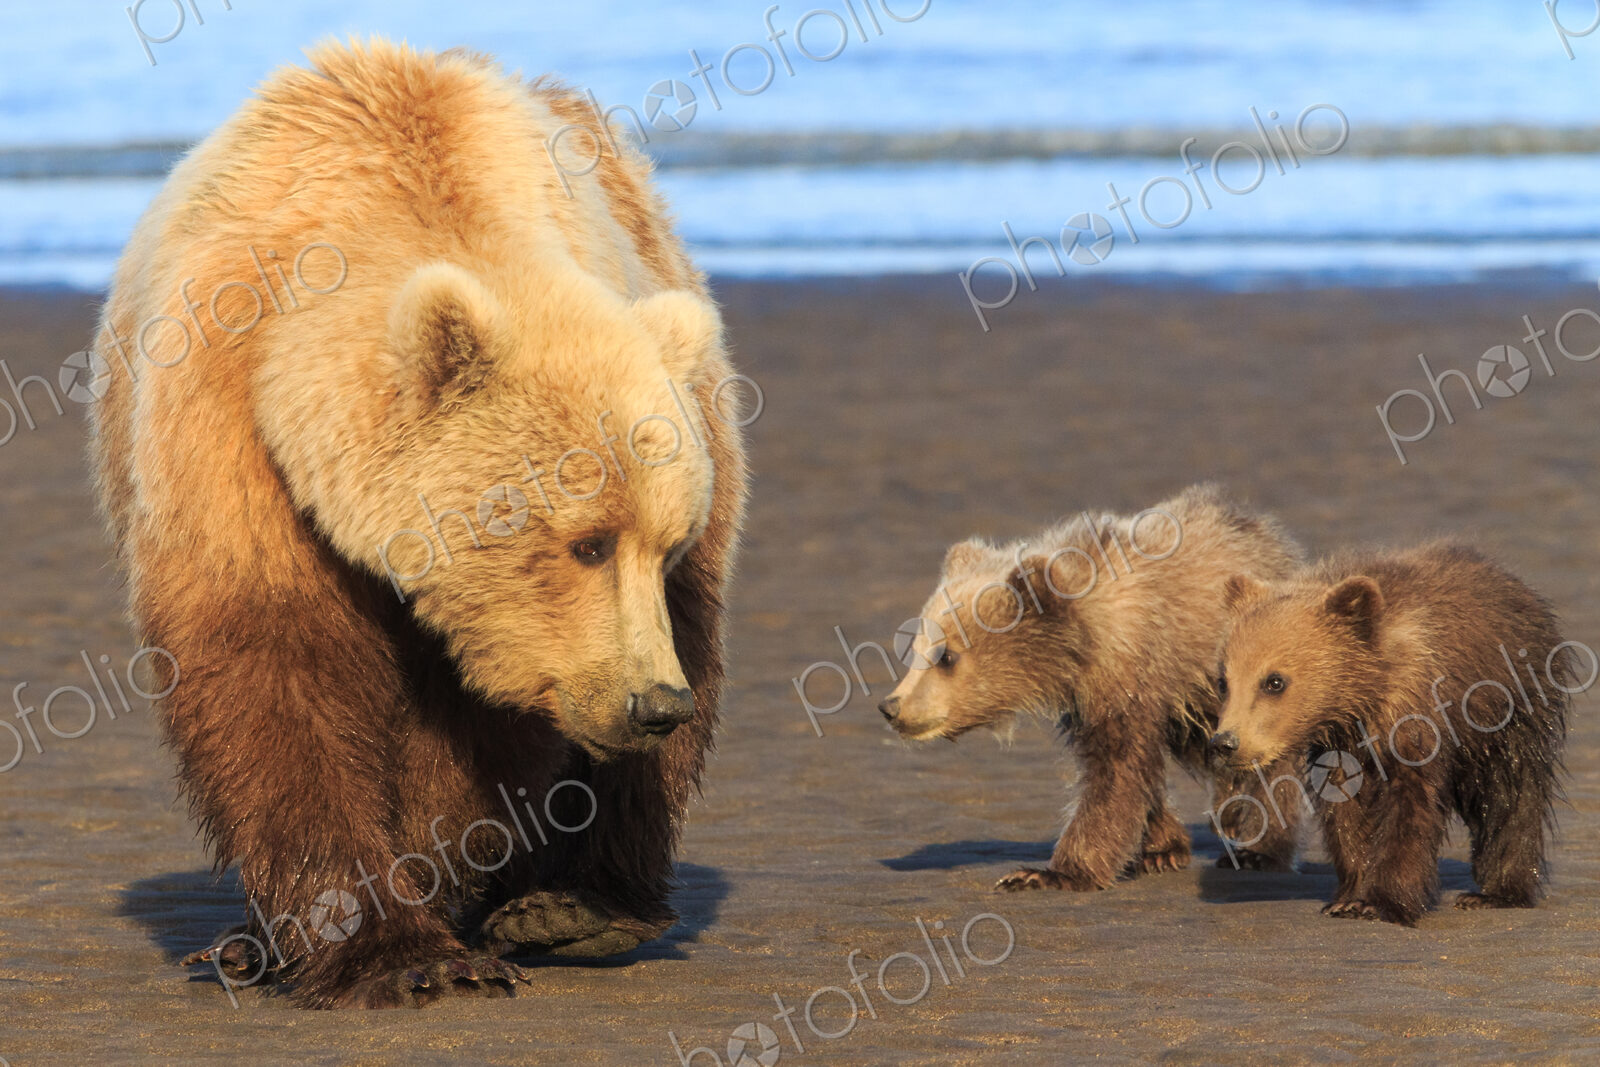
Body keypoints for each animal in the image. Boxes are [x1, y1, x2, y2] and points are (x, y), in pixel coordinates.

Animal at [87, 40, 748, 1008]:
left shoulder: (516, 626)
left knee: (687, 648)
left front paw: (436, 907)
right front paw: (397, 951)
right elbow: (274, 663)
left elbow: (476, 735)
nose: (653, 701)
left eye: (660, 544)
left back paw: (580, 904)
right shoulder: (229, 428)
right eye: (585, 542)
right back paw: (244, 945)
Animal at [877, 484, 1307, 891]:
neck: (1081, 644)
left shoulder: (1132, 670)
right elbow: (1133, 768)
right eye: (916, 646)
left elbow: (1114, 771)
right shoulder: (1093, 696)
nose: (892, 707)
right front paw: (1161, 848)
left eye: (946, 657)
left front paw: (1046, 873)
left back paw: (1255, 844)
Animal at [1211, 542, 1575, 925]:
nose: (1225, 743)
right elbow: (1346, 811)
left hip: (1508, 708)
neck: (1365, 693)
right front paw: (1348, 897)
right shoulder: (1343, 744)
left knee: (1511, 792)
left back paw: (1495, 892)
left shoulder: (1417, 720)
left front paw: (1381, 901)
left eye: (1274, 681)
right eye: (1223, 680)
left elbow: (1409, 809)